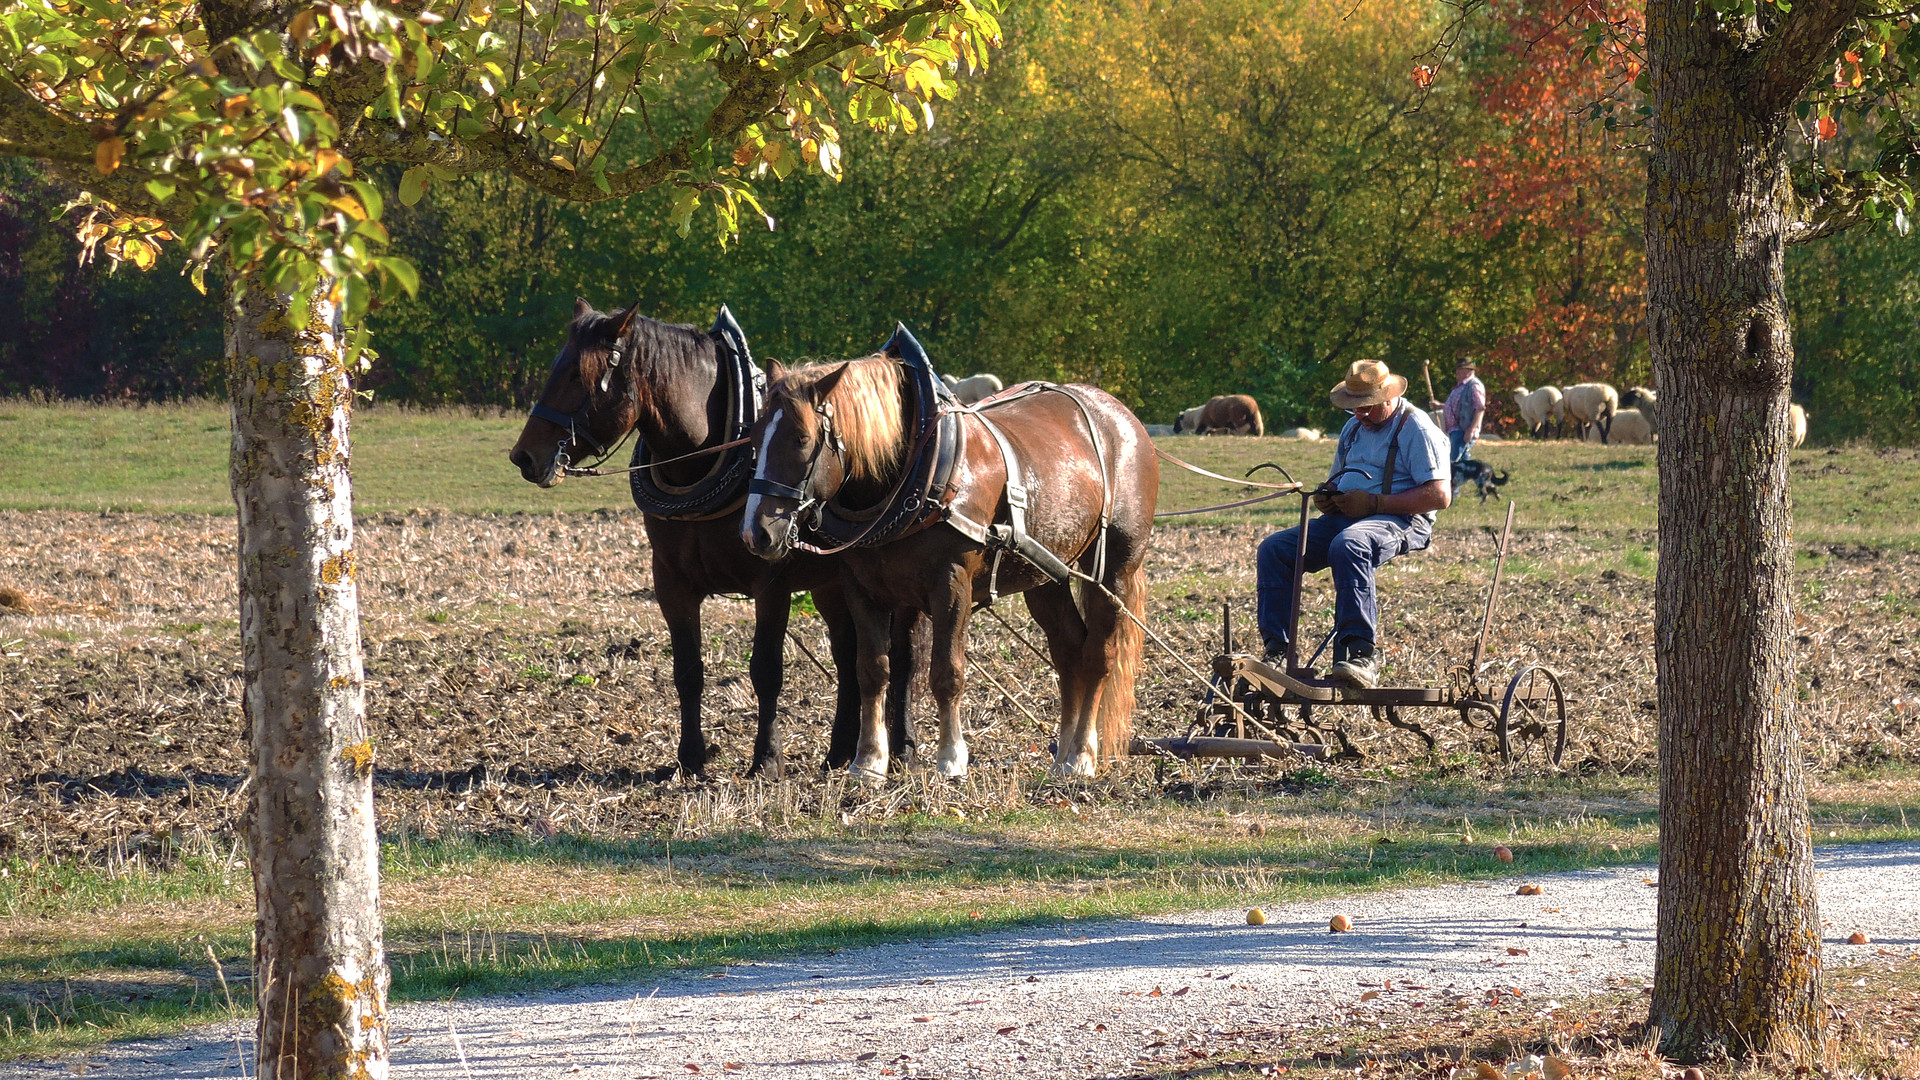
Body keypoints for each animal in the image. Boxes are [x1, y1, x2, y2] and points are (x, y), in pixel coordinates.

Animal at [506, 299, 925, 772]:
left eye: (578, 374)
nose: (524, 456)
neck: (705, 459)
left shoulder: (771, 584)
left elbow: (766, 670)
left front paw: (767, 759)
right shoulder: (671, 584)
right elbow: (688, 670)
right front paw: (690, 758)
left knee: (904, 656)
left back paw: (903, 746)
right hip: (832, 585)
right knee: (846, 652)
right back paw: (838, 752)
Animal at [737, 357, 1152, 776]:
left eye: (802, 439)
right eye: (753, 437)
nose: (756, 533)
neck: (914, 475)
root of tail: (1120, 415)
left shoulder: (951, 585)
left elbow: (946, 673)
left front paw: (951, 758)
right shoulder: (861, 587)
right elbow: (872, 669)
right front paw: (868, 760)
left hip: (1113, 568)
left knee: (1098, 655)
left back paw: (1082, 753)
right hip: (1047, 574)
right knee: (1068, 651)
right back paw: (1064, 754)